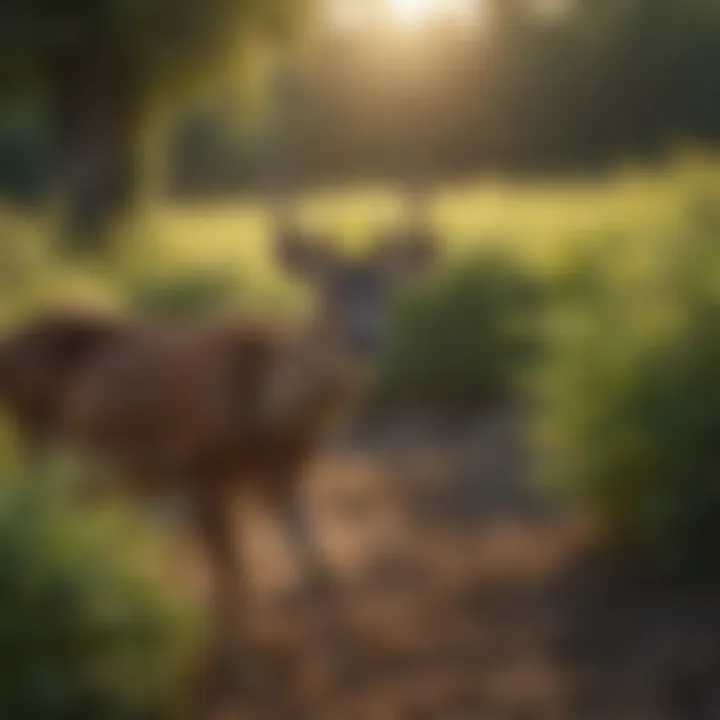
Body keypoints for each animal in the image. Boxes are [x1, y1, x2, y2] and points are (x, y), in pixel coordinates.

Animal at [0, 224, 438, 708]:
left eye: (388, 291)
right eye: (326, 292)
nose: (364, 340)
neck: (267, 414)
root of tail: (7, 347)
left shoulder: (280, 479)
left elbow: (313, 567)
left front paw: (352, 667)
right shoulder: (202, 470)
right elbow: (233, 573)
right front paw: (238, 675)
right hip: (37, 440)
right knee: (41, 525)